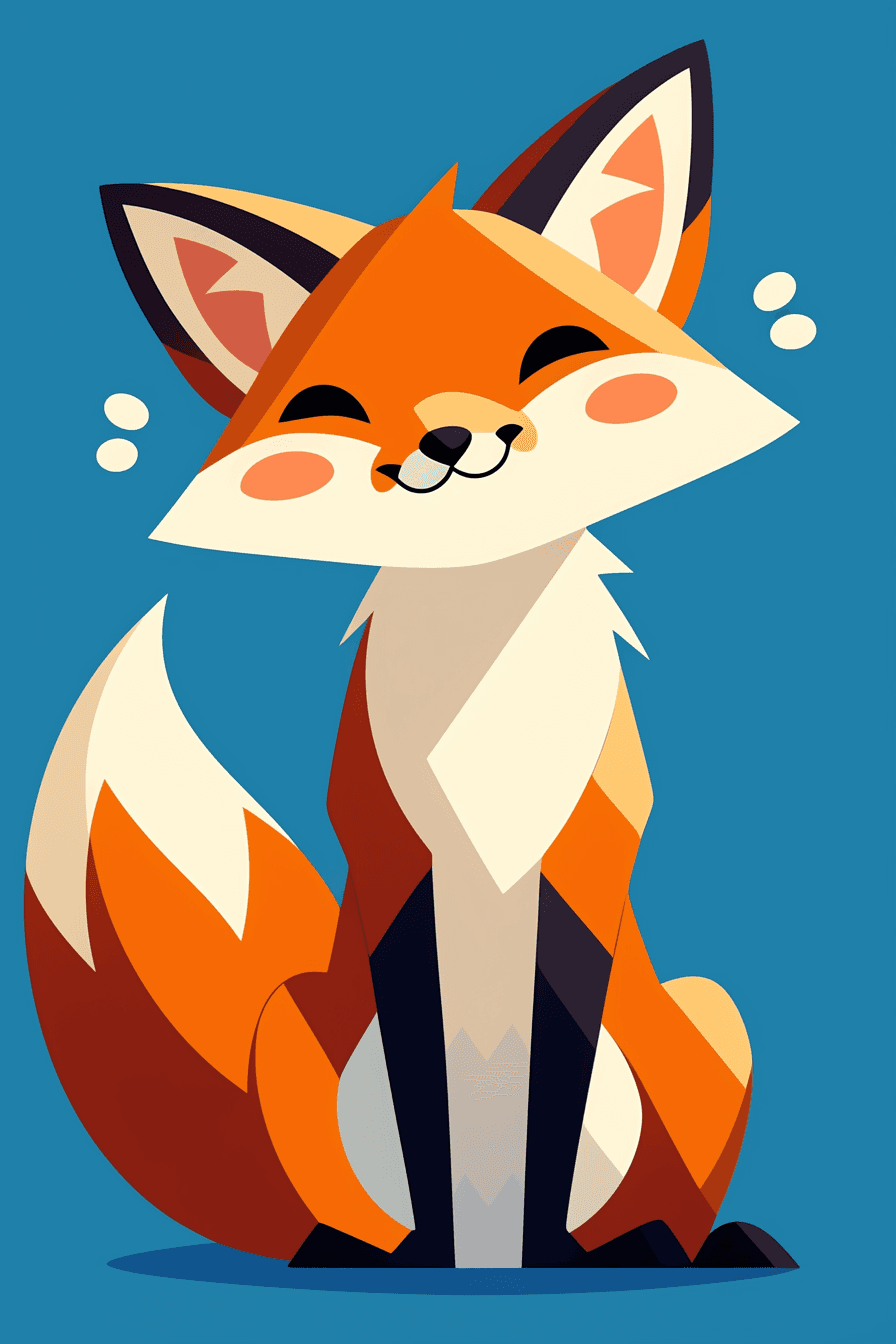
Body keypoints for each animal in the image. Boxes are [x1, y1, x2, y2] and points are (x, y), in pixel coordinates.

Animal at [25, 42, 800, 1271]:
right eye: (332, 404)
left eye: (555, 351)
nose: (448, 438)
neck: (480, 697)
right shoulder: (400, 871)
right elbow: (433, 1118)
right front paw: (448, 1261)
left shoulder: (576, 870)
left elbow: (545, 1116)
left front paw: (537, 1266)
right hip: (297, 1041)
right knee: (333, 1210)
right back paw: (366, 1252)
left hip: (708, 1027)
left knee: (653, 1199)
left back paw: (653, 1246)